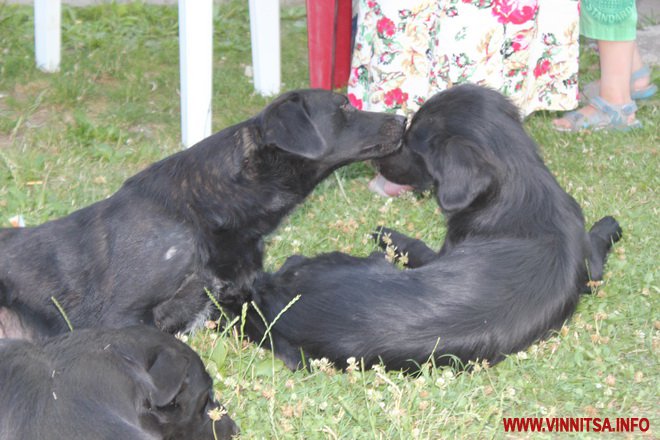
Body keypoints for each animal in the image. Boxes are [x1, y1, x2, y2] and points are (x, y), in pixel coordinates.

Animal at [237, 83, 624, 372]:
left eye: (412, 145)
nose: (379, 161)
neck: (523, 187)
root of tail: (271, 298)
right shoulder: (589, 266)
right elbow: (596, 247)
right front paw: (610, 224)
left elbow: (417, 247)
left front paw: (387, 232)